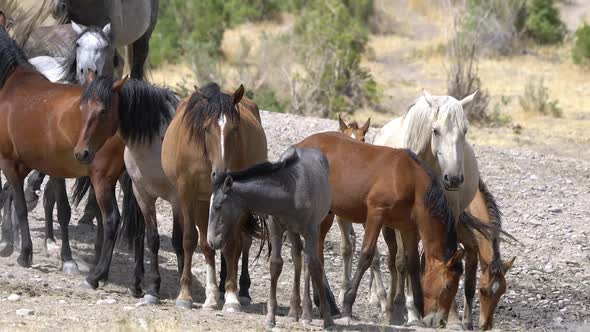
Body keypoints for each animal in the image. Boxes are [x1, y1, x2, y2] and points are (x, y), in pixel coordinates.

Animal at [163, 83, 270, 312]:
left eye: (235, 128)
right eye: (206, 128)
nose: (221, 174)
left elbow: (231, 246)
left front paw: (231, 297)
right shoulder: (188, 195)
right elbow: (191, 240)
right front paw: (187, 295)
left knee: (242, 243)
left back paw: (240, 290)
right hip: (203, 203)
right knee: (208, 244)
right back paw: (214, 294)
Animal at [208, 148, 338, 330]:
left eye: (217, 206)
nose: (211, 241)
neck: (291, 193)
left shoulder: (311, 230)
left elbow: (315, 267)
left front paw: (328, 320)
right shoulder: (275, 228)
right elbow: (276, 265)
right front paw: (270, 319)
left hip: (311, 230)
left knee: (307, 261)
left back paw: (306, 314)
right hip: (292, 231)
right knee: (297, 256)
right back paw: (294, 311)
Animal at [298, 132, 474, 326]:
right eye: (448, 286)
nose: (440, 321)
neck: (411, 180)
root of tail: (300, 145)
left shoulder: (408, 228)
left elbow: (412, 264)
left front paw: (418, 310)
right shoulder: (376, 213)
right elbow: (366, 256)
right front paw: (348, 303)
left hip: (326, 215)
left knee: (316, 254)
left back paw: (322, 305)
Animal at [376, 90, 516, 326]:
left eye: (465, 131)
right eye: (435, 130)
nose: (453, 178)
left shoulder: (450, 220)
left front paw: (451, 315)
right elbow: (409, 262)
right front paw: (411, 311)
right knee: (396, 260)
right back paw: (394, 305)